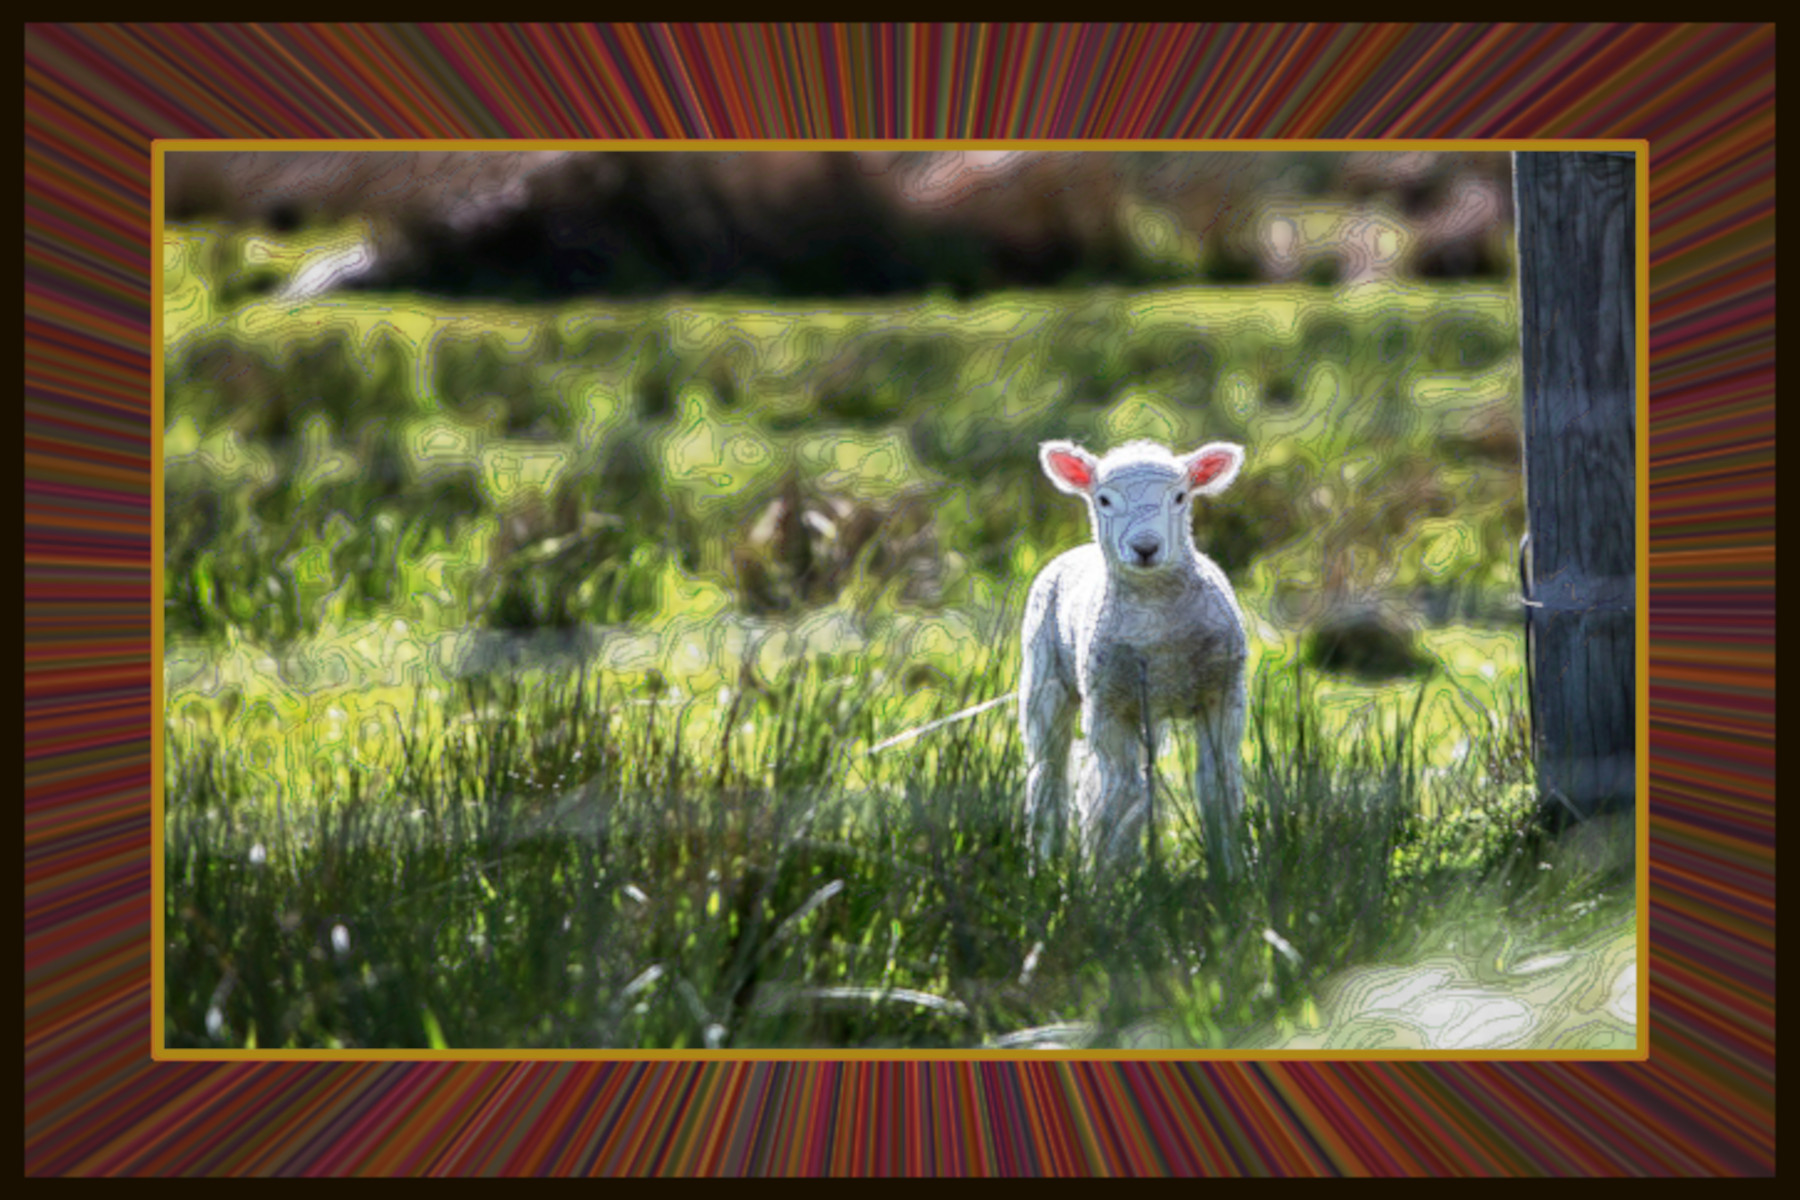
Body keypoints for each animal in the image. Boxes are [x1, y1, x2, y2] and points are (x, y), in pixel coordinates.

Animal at [1020, 438, 1249, 876]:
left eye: (1180, 497)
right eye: (1104, 499)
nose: (1145, 547)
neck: (1157, 627)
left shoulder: (1224, 695)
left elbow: (1218, 785)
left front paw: (1233, 872)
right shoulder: (1108, 705)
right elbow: (1117, 793)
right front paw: (1101, 878)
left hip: (1149, 708)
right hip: (1044, 676)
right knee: (1051, 776)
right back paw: (1044, 864)